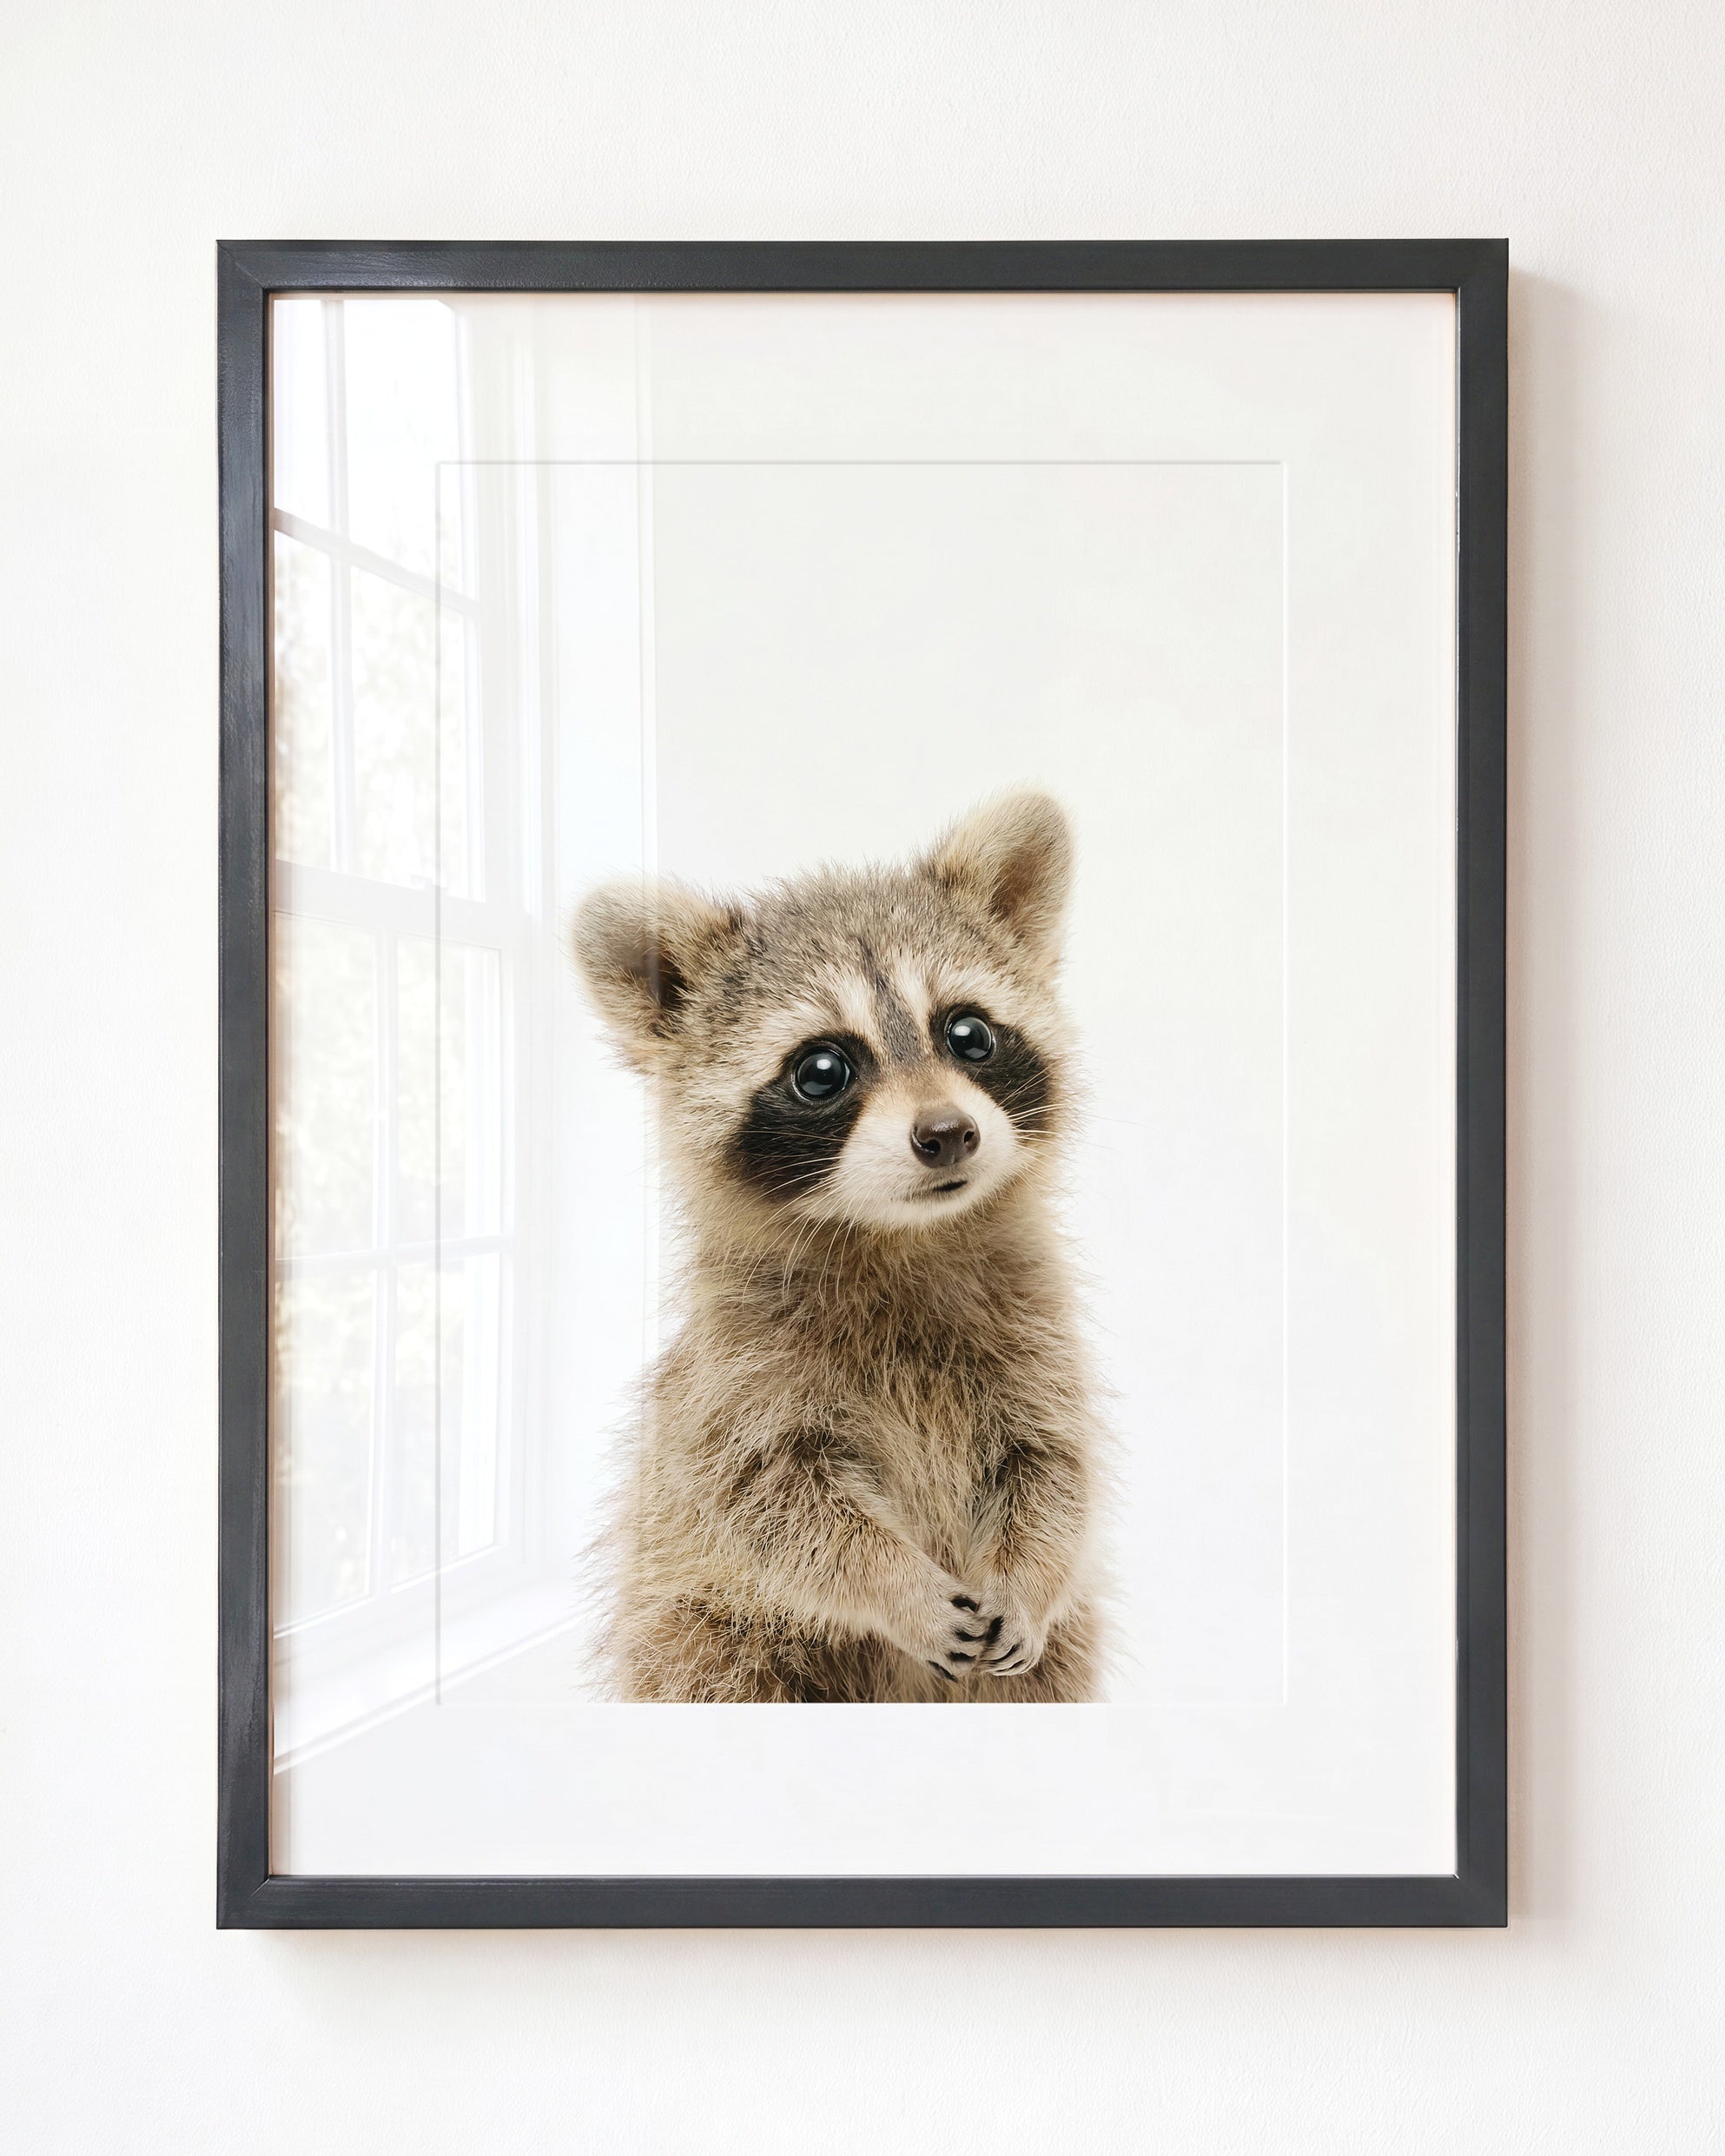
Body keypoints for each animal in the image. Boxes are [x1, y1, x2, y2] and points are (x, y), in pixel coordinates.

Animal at [571, 791, 1104, 1703]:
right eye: (822, 1070)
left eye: (968, 1034)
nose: (947, 1134)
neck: (902, 1238)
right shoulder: (735, 1381)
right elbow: (774, 1507)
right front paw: (897, 1586)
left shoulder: (1038, 1339)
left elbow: (1054, 1469)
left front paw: (1029, 1578)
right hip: (704, 1633)